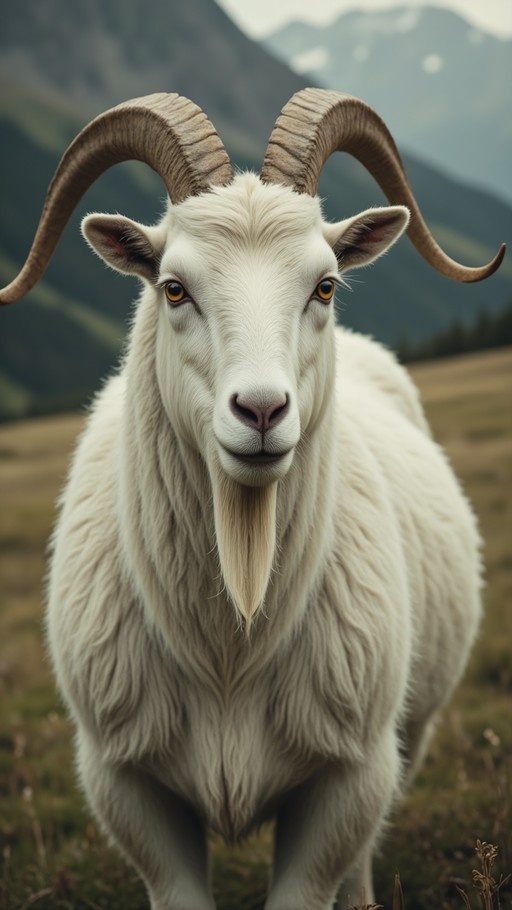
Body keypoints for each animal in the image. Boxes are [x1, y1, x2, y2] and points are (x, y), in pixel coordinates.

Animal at [1, 89, 505, 910]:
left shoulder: (348, 778)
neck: (229, 646)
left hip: (403, 743)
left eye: (324, 285)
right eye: (173, 287)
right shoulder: (125, 785)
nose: (262, 411)